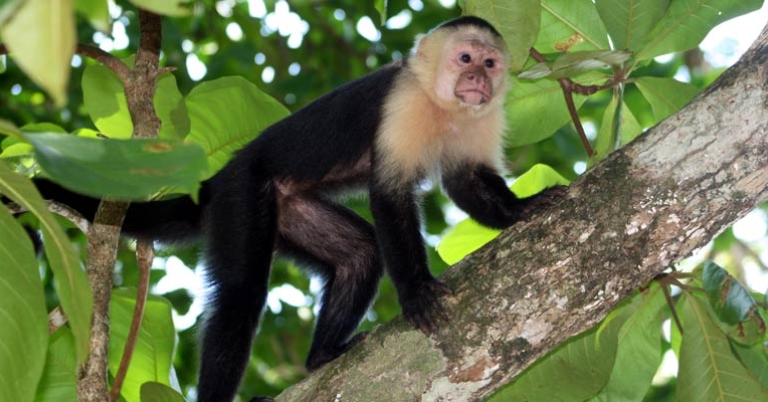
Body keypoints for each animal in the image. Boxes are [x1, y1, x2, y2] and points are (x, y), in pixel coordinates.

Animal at [15, 16, 563, 401]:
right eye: (464, 57)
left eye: (489, 64)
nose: (477, 80)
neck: (443, 106)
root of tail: (215, 182)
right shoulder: (402, 103)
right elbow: (389, 194)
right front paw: (417, 291)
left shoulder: (483, 117)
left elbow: (465, 181)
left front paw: (523, 208)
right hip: (242, 197)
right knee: (240, 297)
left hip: (288, 208)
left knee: (360, 254)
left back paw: (322, 356)